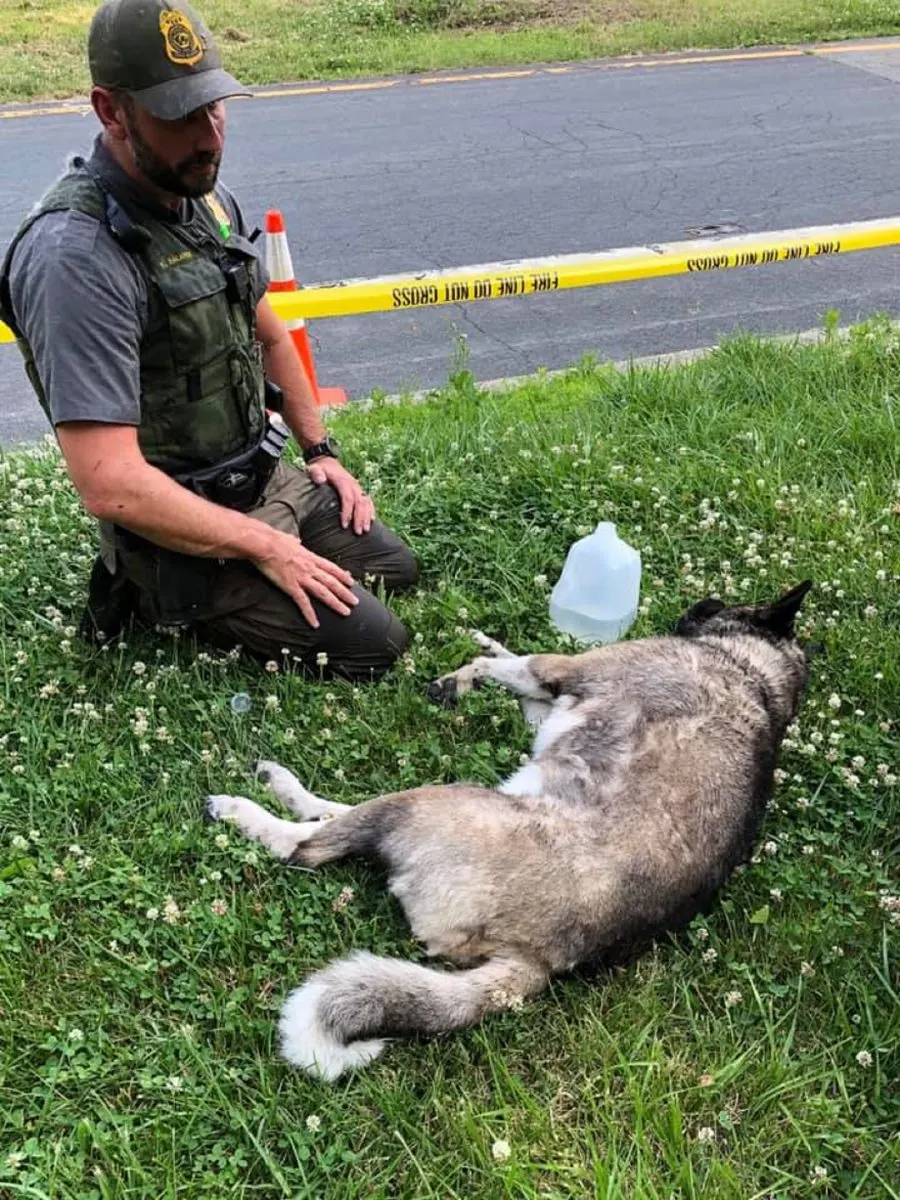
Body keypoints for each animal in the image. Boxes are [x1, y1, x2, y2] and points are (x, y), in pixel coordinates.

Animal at [206, 580, 816, 1080]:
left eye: (717, 605)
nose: (697, 604)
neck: (752, 673)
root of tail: (539, 958)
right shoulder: (545, 704)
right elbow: (506, 663)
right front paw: (481, 642)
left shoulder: (565, 666)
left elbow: (493, 663)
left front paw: (463, 673)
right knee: (331, 819)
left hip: (434, 800)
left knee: (305, 846)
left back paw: (250, 805)